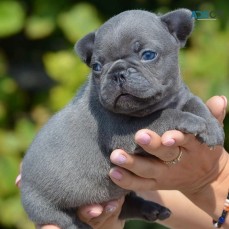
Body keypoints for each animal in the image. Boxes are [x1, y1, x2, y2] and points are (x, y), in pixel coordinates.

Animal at [20, 8, 225, 229]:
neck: (152, 104)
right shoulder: (125, 132)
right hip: (44, 207)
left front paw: (212, 128)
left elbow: (198, 104)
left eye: (148, 55)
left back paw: (151, 209)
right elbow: (164, 116)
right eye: (97, 66)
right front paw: (192, 121)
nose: (118, 73)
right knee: (64, 219)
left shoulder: (182, 96)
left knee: (127, 203)